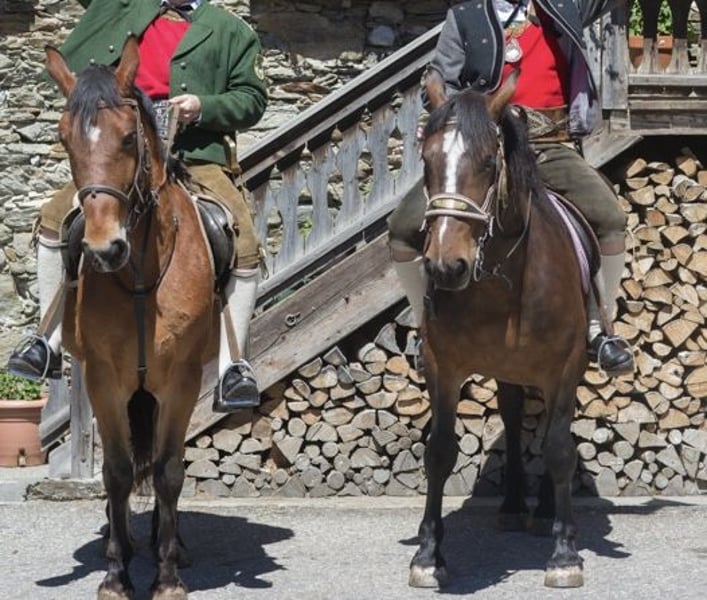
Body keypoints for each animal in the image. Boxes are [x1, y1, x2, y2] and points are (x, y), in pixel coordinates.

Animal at [46, 38, 218, 600]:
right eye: (64, 139)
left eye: (127, 138)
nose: (104, 249)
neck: (141, 269)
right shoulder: (105, 379)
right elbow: (118, 473)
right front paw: (117, 575)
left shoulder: (181, 380)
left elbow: (168, 473)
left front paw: (166, 576)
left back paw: (173, 541)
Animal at [408, 69, 592, 590]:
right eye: (427, 161)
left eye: (489, 163)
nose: (445, 266)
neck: (502, 281)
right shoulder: (443, 367)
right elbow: (440, 451)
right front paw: (429, 554)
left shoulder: (564, 366)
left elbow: (558, 448)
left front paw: (565, 554)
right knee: (512, 417)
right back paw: (513, 506)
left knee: (552, 429)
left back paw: (546, 512)